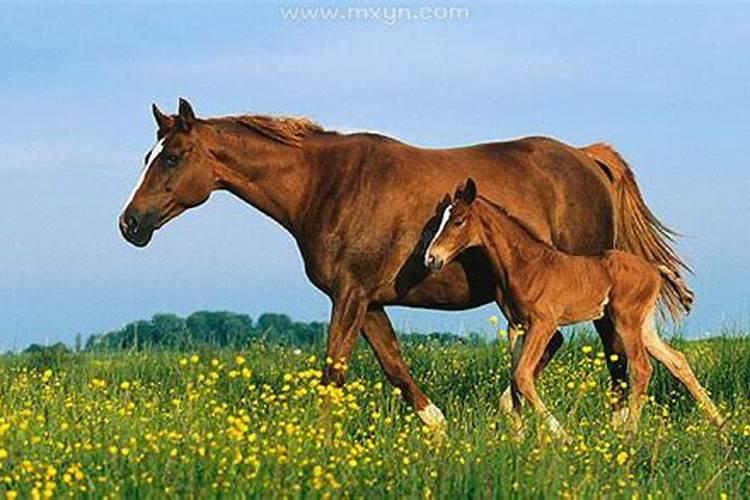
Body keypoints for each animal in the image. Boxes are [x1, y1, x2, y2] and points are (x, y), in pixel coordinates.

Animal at [119, 98, 692, 430]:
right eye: (148, 157)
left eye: (171, 158)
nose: (130, 224)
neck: (328, 185)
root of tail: (587, 156)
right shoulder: (367, 300)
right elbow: (393, 364)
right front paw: (436, 426)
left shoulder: (349, 296)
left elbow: (334, 371)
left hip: (599, 301)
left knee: (617, 359)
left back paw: (612, 431)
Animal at [426, 179, 724, 434]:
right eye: (440, 220)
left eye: (458, 221)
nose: (431, 258)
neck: (524, 265)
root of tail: (653, 268)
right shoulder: (516, 326)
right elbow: (514, 378)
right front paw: (518, 438)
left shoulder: (544, 325)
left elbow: (522, 376)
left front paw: (561, 435)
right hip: (644, 325)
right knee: (676, 360)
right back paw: (720, 424)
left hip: (625, 320)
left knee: (642, 367)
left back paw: (630, 434)